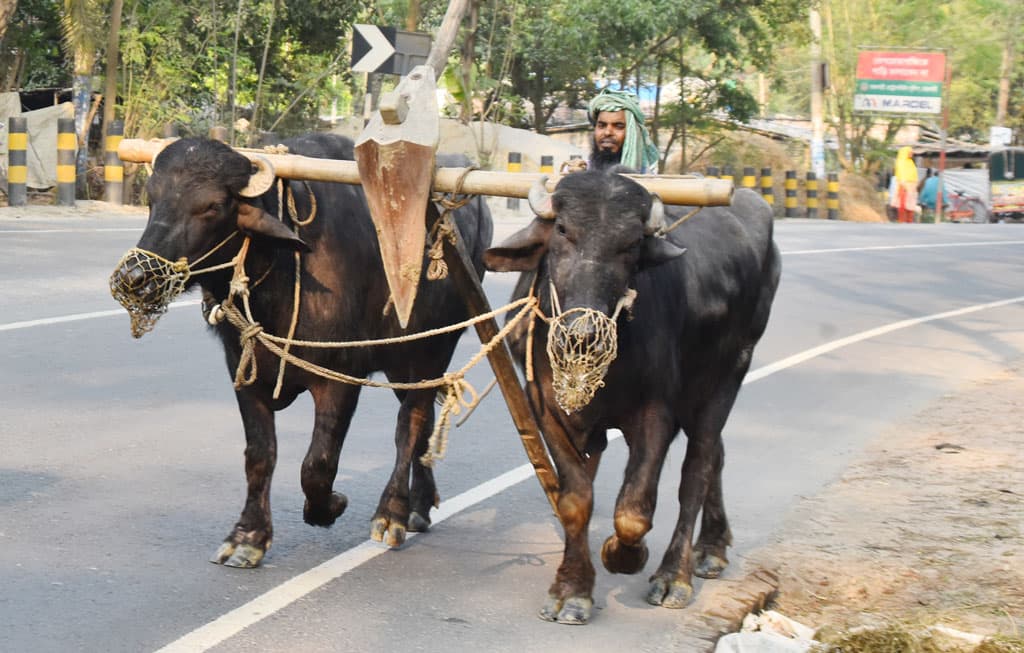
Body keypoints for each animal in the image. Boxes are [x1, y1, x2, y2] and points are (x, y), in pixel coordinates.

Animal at [110, 133, 493, 569]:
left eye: (212, 206)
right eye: (153, 198)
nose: (136, 278)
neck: (282, 272)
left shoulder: (342, 378)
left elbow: (318, 463)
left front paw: (329, 506)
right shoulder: (245, 371)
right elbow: (260, 455)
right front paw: (248, 537)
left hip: (430, 350)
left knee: (409, 423)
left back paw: (393, 513)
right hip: (402, 365)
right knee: (423, 421)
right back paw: (419, 505)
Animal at [483, 171, 778, 626]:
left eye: (631, 243)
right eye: (563, 230)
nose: (583, 332)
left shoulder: (658, 413)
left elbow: (634, 511)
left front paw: (624, 555)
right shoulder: (547, 409)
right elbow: (575, 500)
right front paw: (571, 590)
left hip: (729, 375)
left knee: (698, 469)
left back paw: (675, 575)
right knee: (716, 456)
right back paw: (712, 547)